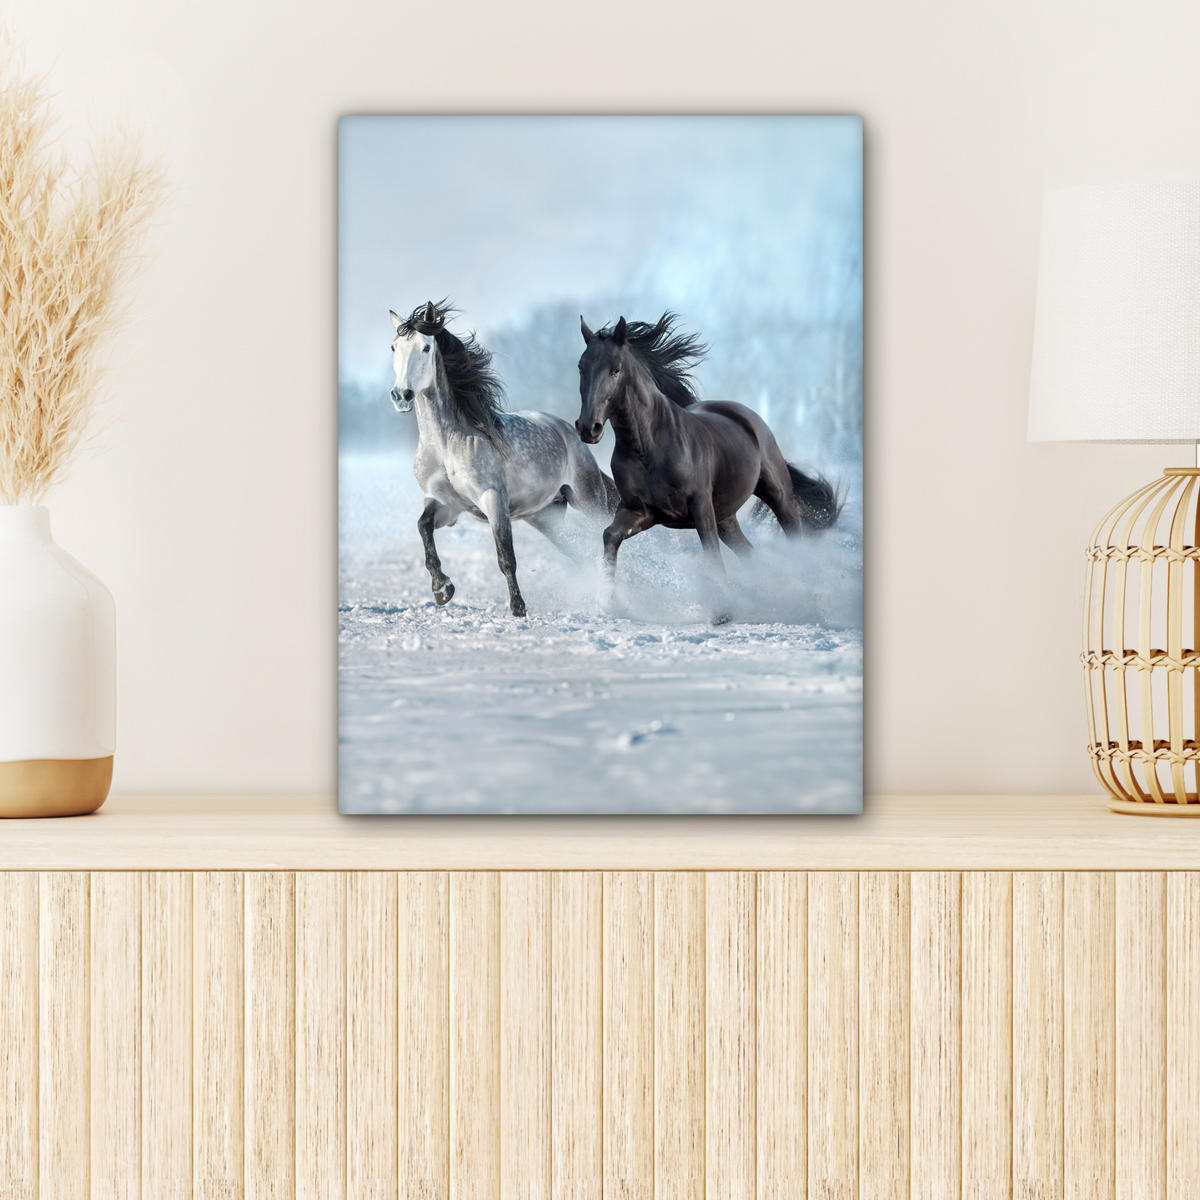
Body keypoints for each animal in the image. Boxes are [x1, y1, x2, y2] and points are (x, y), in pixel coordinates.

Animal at [390, 301, 617, 617]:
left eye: (425, 347)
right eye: (394, 347)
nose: (401, 395)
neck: (446, 445)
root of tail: (568, 431)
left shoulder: (493, 499)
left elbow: (505, 556)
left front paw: (518, 607)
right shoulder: (445, 504)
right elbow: (423, 528)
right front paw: (442, 589)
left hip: (588, 499)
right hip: (545, 517)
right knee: (579, 552)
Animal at [575, 312, 840, 623]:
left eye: (615, 370)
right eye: (581, 367)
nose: (588, 428)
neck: (649, 447)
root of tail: (747, 416)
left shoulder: (700, 508)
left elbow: (711, 553)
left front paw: (722, 613)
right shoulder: (640, 511)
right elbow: (610, 536)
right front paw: (609, 603)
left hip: (777, 495)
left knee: (793, 535)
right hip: (726, 517)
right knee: (749, 553)